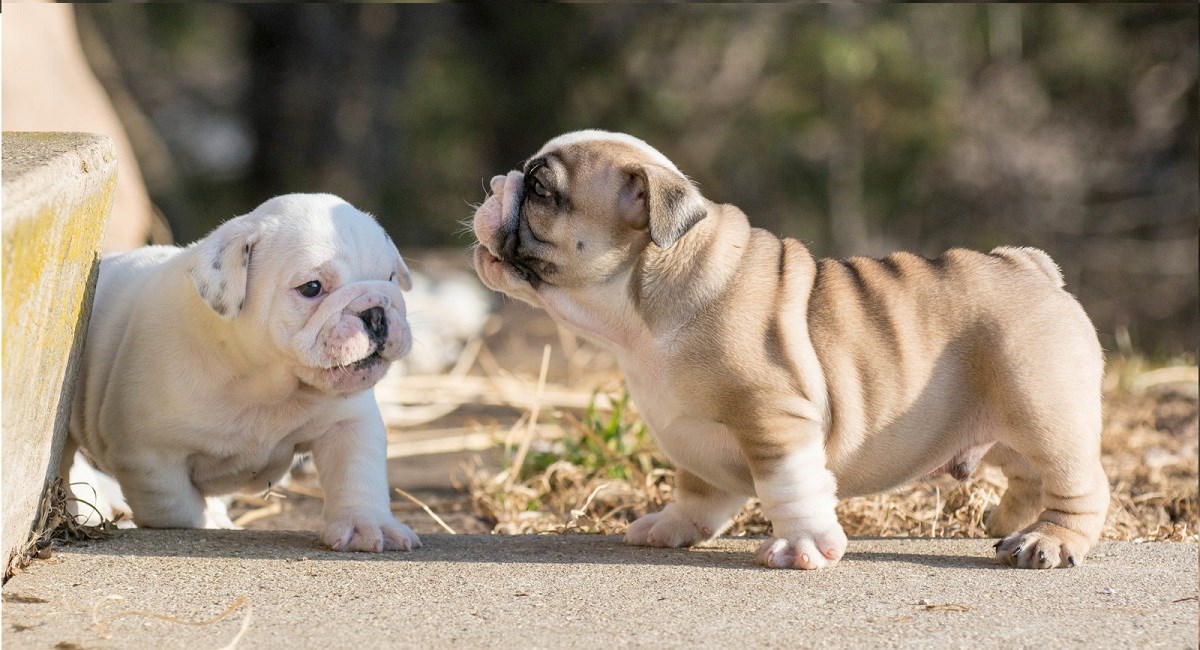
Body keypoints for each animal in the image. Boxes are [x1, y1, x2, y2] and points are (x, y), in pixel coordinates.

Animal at [66, 195, 422, 556]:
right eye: (311, 288)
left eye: (390, 278)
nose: (375, 312)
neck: (266, 381)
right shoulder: (151, 458)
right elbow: (178, 507)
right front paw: (206, 522)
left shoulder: (348, 424)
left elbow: (357, 475)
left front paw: (366, 526)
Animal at [472, 130, 1108, 568]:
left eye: (541, 189)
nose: (496, 183)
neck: (640, 316)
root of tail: (1029, 265)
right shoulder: (692, 437)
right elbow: (698, 491)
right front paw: (670, 526)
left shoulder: (774, 419)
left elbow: (789, 486)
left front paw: (803, 547)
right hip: (1002, 426)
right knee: (1026, 475)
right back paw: (1003, 521)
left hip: (1042, 410)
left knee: (1079, 484)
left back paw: (1046, 542)